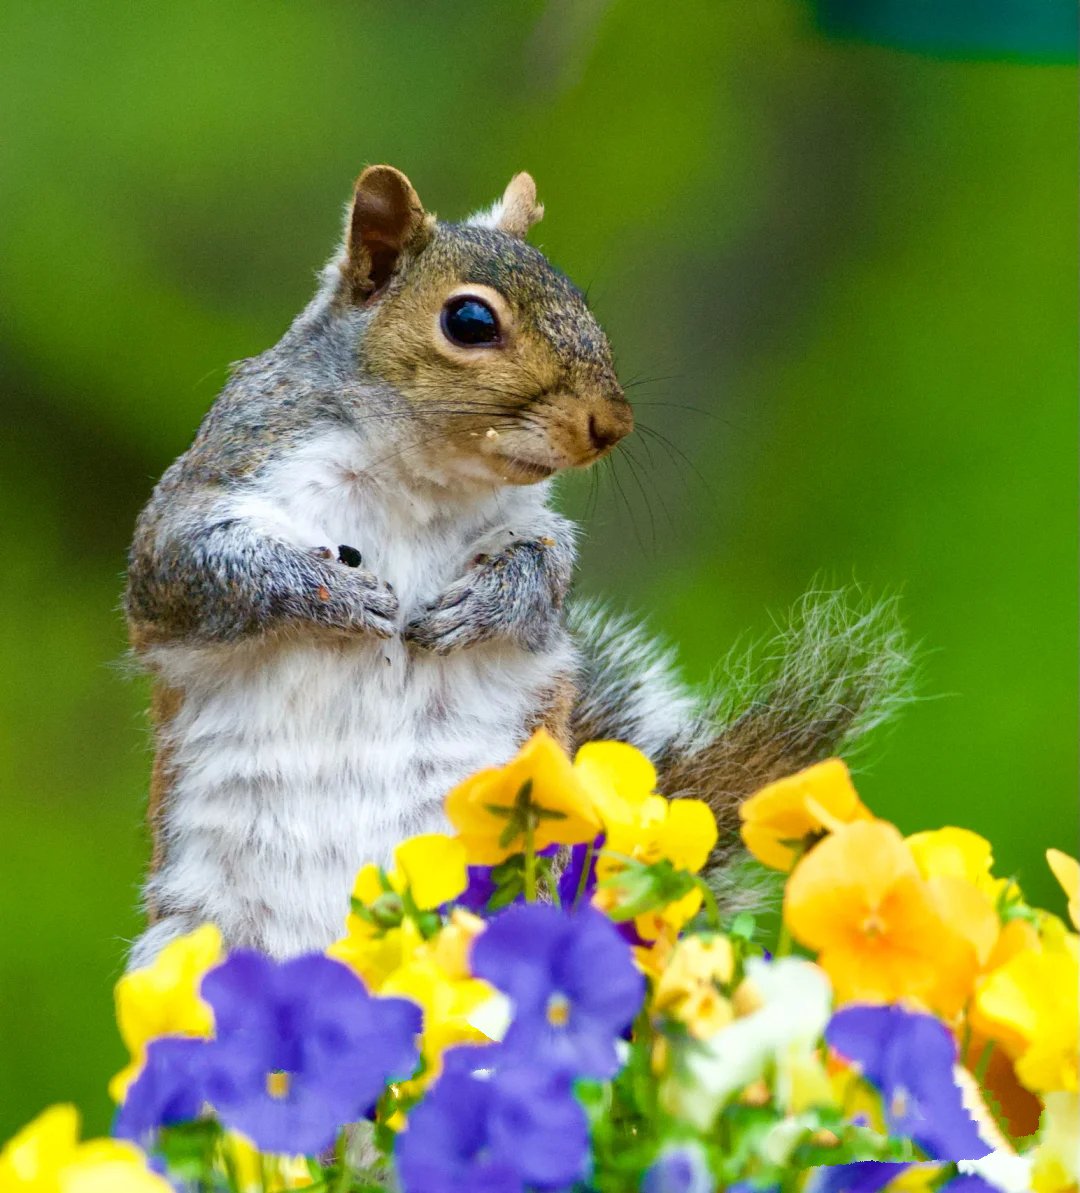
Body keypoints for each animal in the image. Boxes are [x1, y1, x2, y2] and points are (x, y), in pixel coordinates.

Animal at [122, 165, 906, 968]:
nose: (612, 424)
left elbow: (547, 580)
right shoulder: (212, 488)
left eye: (580, 300)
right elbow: (194, 567)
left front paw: (485, 605)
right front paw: (335, 592)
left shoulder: (535, 527)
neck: (419, 475)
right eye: (469, 321)